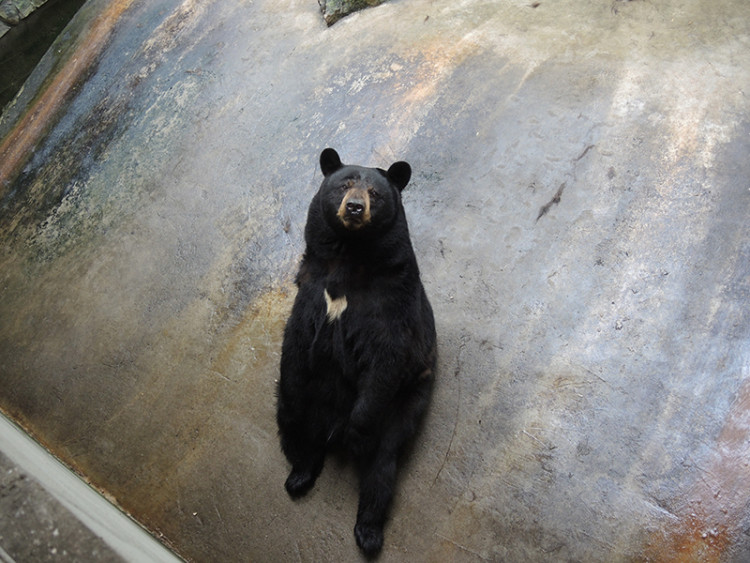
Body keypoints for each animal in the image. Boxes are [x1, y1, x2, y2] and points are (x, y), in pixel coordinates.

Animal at [280, 149, 438, 556]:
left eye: (375, 193)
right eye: (344, 184)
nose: (354, 208)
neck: (349, 255)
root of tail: (329, 428)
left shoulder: (391, 298)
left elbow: (385, 357)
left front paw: (358, 433)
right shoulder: (310, 289)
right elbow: (296, 342)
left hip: (409, 400)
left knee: (382, 467)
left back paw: (368, 532)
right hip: (304, 407)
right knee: (296, 430)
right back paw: (299, 476)